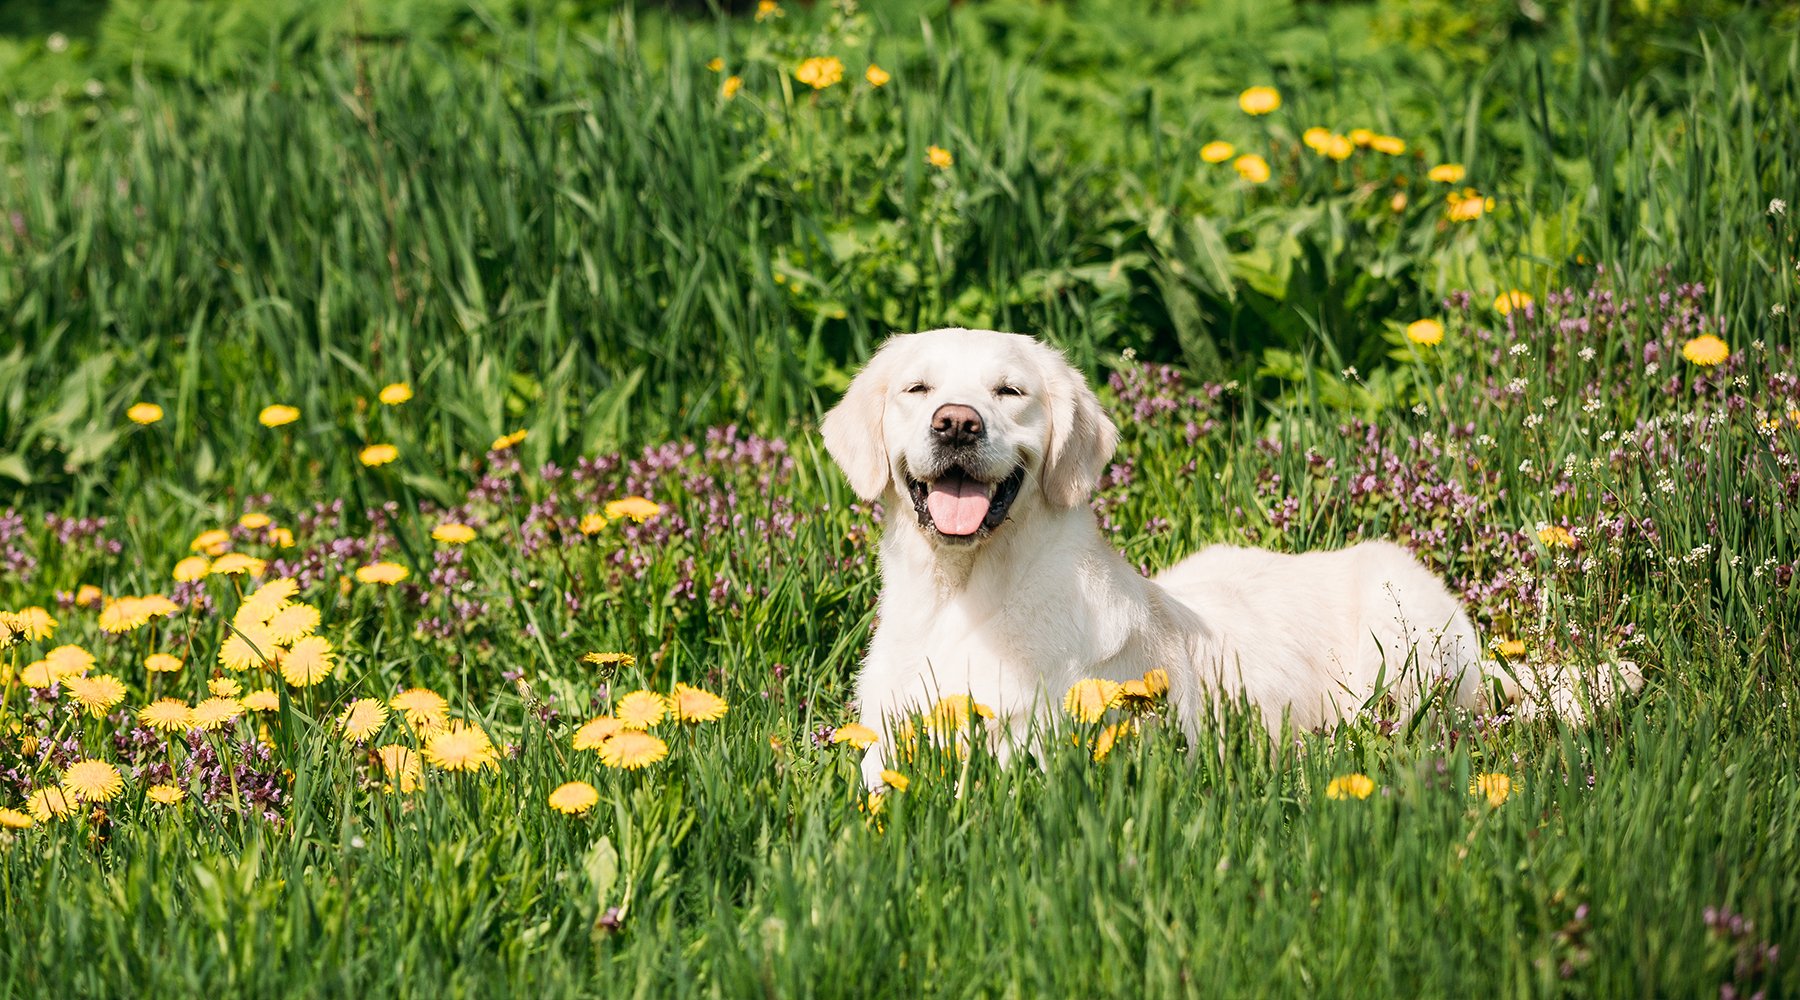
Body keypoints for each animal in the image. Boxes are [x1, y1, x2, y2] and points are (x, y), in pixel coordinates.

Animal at [824, 327, 1641, 787]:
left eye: (1009, 391)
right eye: (918, 387)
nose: (957, 423)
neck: (963, 595)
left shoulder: (1046, 741)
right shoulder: (888, 732)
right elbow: (873, 775)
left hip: (1400, 640)